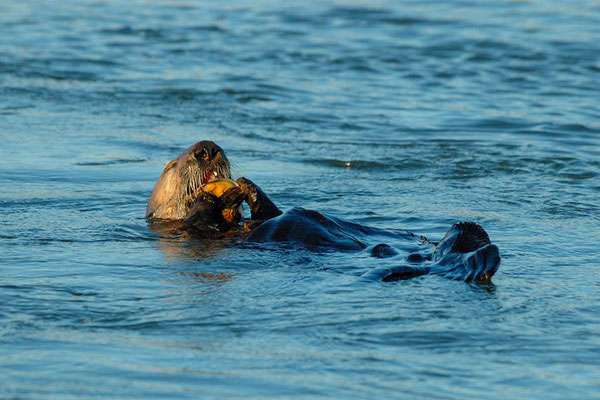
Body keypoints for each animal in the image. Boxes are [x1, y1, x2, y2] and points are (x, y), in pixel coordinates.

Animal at [148, 141, 500, 282]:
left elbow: (265, 215)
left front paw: (249, 187)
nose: (206, 148)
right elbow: (199, 221)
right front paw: (205, 200)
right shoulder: (189, 231)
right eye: (171, 166)